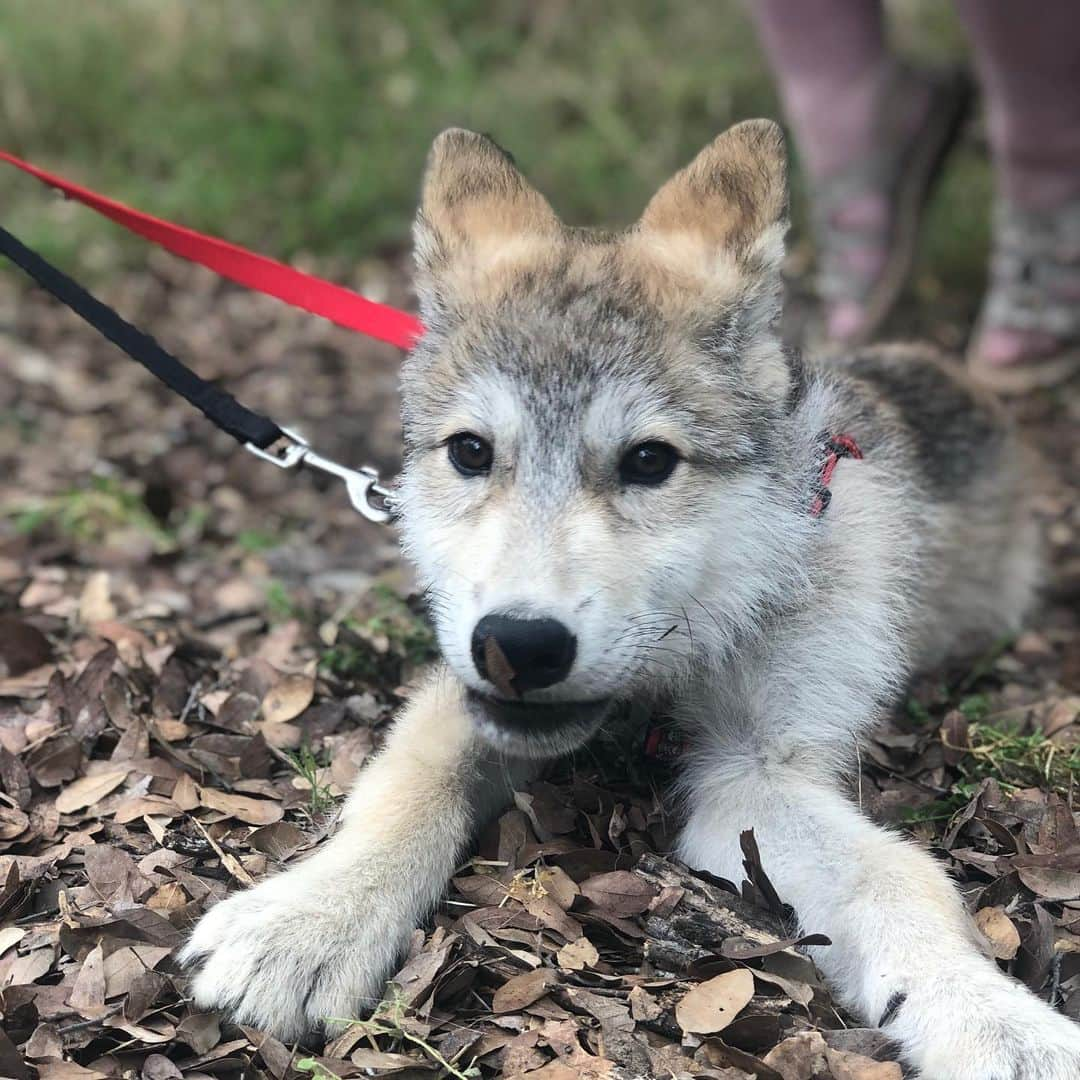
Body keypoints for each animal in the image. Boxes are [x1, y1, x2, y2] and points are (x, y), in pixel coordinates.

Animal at [181, 122, 1080, 1075]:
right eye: (470, 452)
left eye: (650, 462)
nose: (517, 645)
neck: (675, 666)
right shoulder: (461, 695)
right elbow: (403, 790)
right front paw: (307, 922)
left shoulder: (756, 777)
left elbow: (901, 877)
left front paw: (1000, 1026)